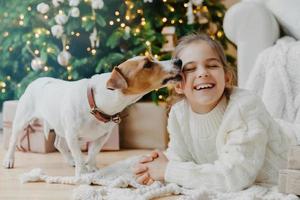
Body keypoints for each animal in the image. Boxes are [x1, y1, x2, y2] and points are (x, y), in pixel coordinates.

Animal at [2, 55, 182, 176]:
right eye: (147, 65)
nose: (178, 61)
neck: (97, 103)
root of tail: (36, 80)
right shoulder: (73, 136)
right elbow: (79, 155)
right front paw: (82, 173)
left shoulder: (102, 136)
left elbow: (93, 152)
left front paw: (92, 167)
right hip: (22, 120)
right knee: (12, 141)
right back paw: (9, 160)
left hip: (60, 125)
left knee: (59, 143)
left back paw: (70, 161)